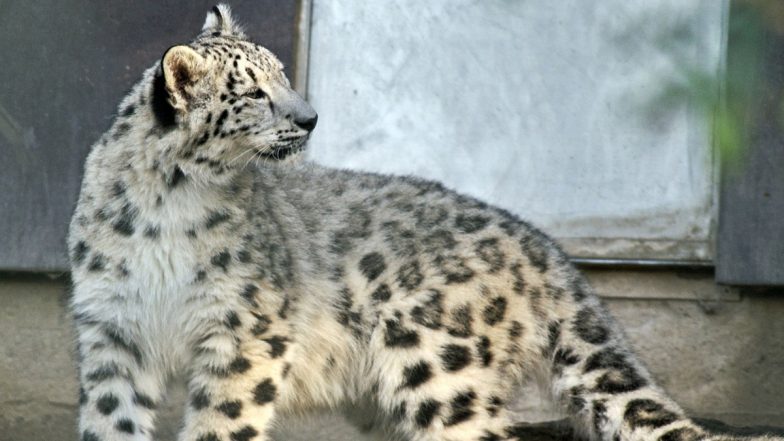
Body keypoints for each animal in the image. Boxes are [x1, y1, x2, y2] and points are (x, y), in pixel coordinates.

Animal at [69, 4, 784, 440]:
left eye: (283, 74)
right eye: (253, 92)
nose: (309, 117)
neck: (169, 204)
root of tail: (542, 246)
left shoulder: (243, 331)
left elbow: (224, 420)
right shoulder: (112, 330)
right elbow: (111, 420)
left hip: (440, 367)